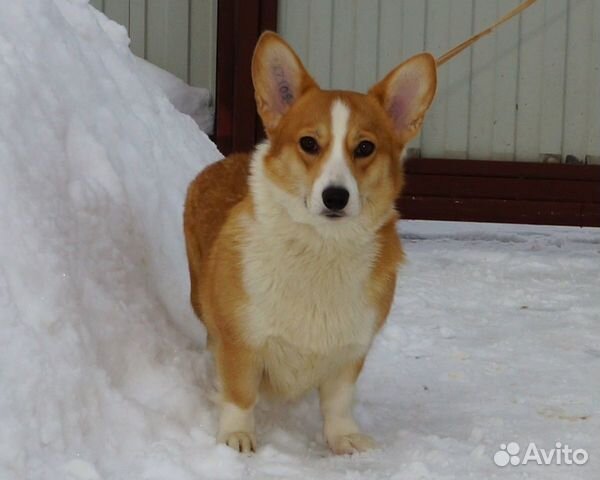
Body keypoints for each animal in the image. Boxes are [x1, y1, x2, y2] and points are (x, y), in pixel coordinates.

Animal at [183, 31, 436, 454]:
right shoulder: (241, 341)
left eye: (364, 148)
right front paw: (237, 436)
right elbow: (240, 394)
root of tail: (225, 159)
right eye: (308, 143)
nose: (335, 197)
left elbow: (338, 402)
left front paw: (343, 438)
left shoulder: (350, 351)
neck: (321, 249)